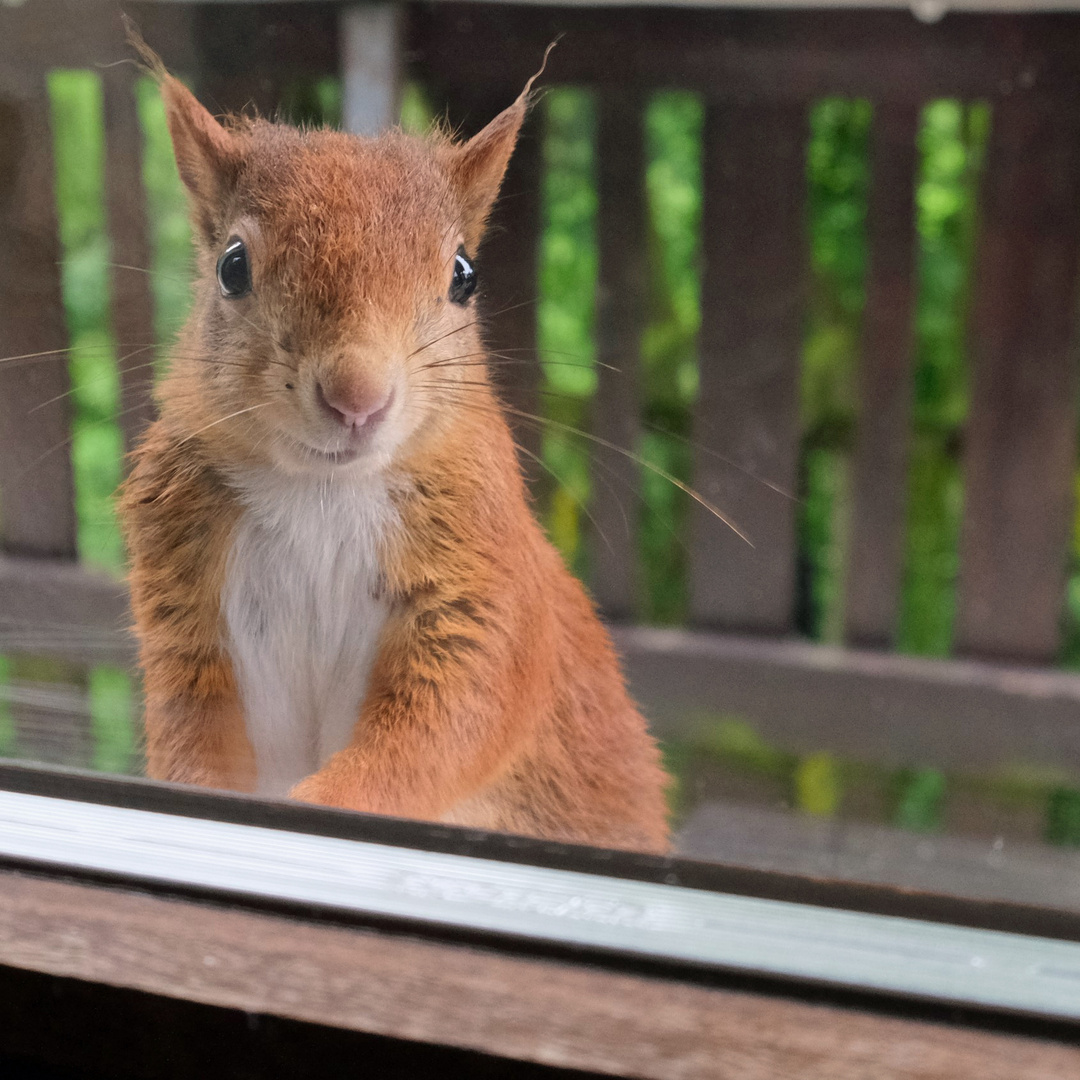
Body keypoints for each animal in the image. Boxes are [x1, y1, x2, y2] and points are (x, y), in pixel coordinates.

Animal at [122, 44, 669, 851]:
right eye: (232, 266)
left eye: (464, 275)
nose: (358, 396)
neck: (319, 492)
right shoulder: (181, 601)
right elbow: (190, 729)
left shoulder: (486, 584)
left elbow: (449, 722)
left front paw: (323, 804)